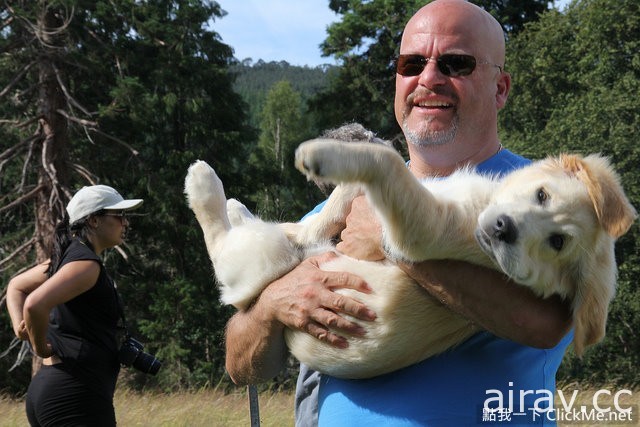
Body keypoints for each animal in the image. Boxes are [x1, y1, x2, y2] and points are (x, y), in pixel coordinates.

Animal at [184, 140, 636, 378]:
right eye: (542, 194)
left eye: (557, 242)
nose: (502, 228)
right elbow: (340, 201)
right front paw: (312, 222)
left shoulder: (421, 229)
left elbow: (382, 160)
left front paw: (322, 154)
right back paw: (244, 208)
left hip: (259, 259)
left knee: (223, 244)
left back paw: (205, 182)